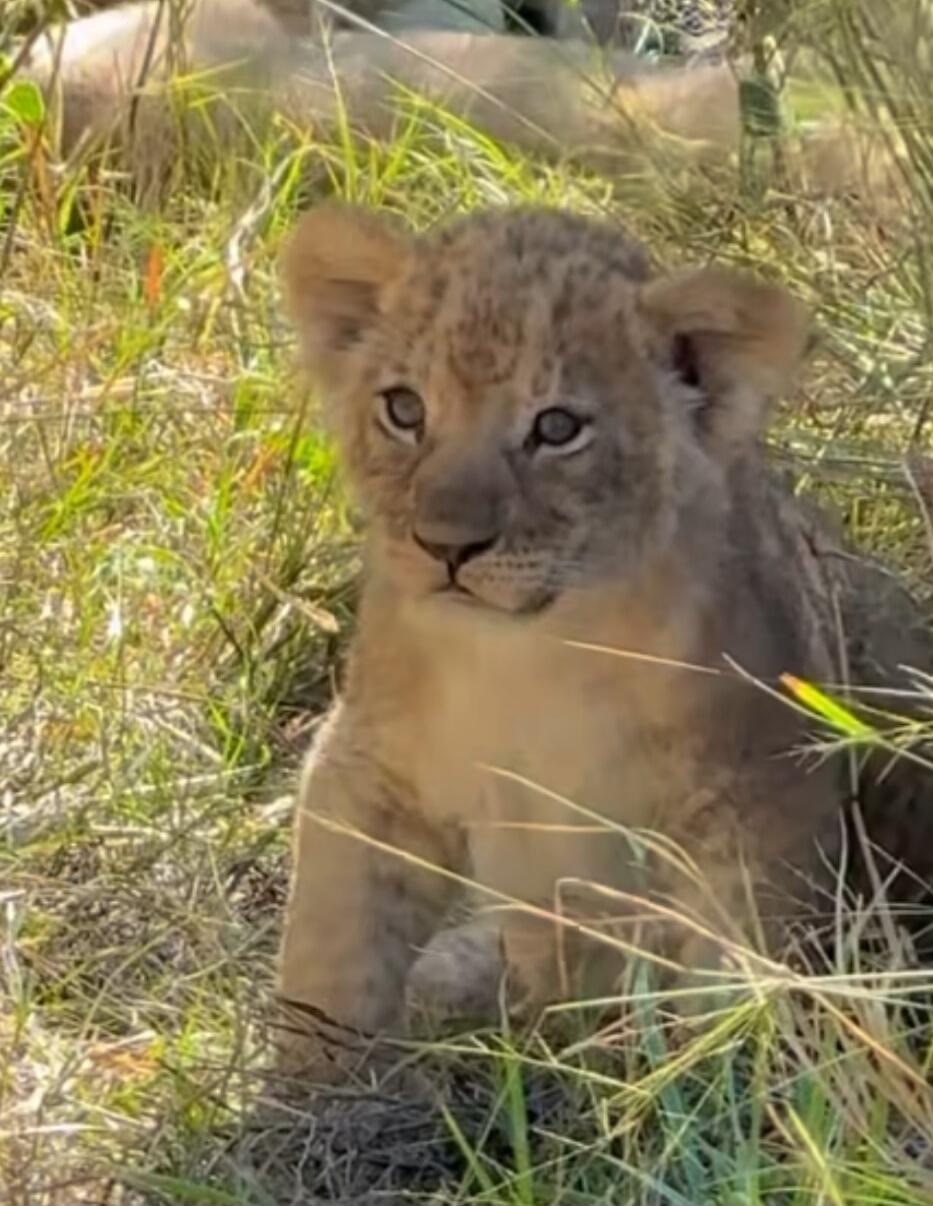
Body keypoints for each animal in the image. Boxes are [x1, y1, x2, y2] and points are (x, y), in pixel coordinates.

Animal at [273, 202, 930, 1082]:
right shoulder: (369, 768)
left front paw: (707, 1091)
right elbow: (332, 945)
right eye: (404, 409)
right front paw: (304, 1097)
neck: (532, 655)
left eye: (556, 428)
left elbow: (732, 983)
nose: (444, 546)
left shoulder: (756, 796)